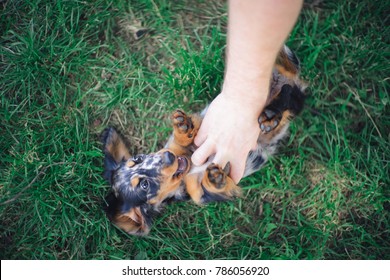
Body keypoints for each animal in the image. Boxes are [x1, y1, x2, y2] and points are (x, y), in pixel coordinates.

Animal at [102, 45, 306, 234]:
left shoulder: (199, 137)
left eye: (139, 158)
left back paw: (270, 113)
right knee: (289, 95)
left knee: (288, 93)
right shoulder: (198, 192)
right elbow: (201, 191)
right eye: (144, 185)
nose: (168, 157)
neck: (188, 167)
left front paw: (182, 127)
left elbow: (182, 139)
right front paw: (214, 179)